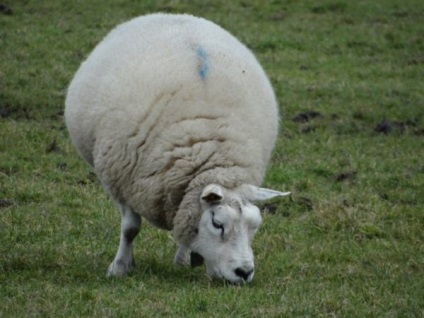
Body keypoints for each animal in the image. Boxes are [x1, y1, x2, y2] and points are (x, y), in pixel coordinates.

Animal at [64, 13, 290, 284]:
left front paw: (182, 260)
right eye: (217, 223)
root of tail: (174, 15)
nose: (244, 272)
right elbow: (130, 229)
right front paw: (119, 267)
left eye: (255, 226)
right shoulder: (122, 180)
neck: (212, 155)